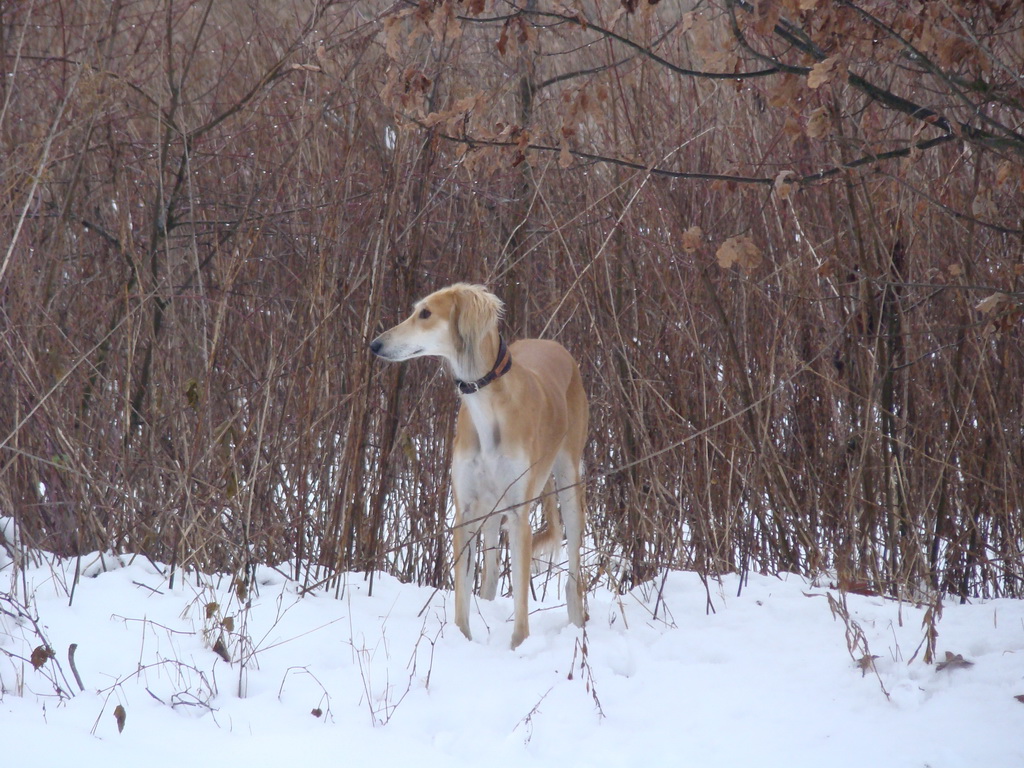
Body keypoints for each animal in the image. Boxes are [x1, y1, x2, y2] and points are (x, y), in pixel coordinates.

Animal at [372, 284, 589, 651]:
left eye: (425, 313)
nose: (376, 345)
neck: (487, 405)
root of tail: (553, 345)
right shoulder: (466, 511)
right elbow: (463, 590)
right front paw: (463, 638)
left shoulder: (518, 513)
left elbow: (520, 596)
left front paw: (519, 646)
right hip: (490, 508)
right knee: (489, 575)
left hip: (568, 482)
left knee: (573, 575)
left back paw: (577, 626)